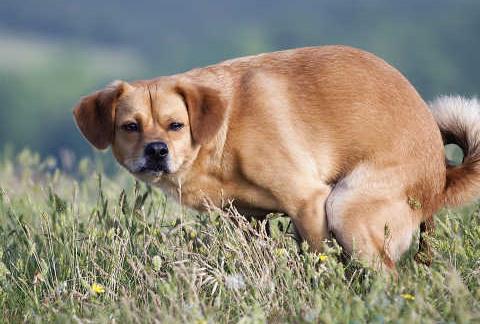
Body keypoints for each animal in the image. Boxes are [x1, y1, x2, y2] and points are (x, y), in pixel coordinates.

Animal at [73, 45, 480, 268]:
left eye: (176, 126)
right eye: (130, 127)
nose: (156, 150)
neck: (222, 130)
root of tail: (442, 175)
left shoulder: (308, 202)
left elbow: (318, 257)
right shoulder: (245, 220)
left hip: (346, 207)